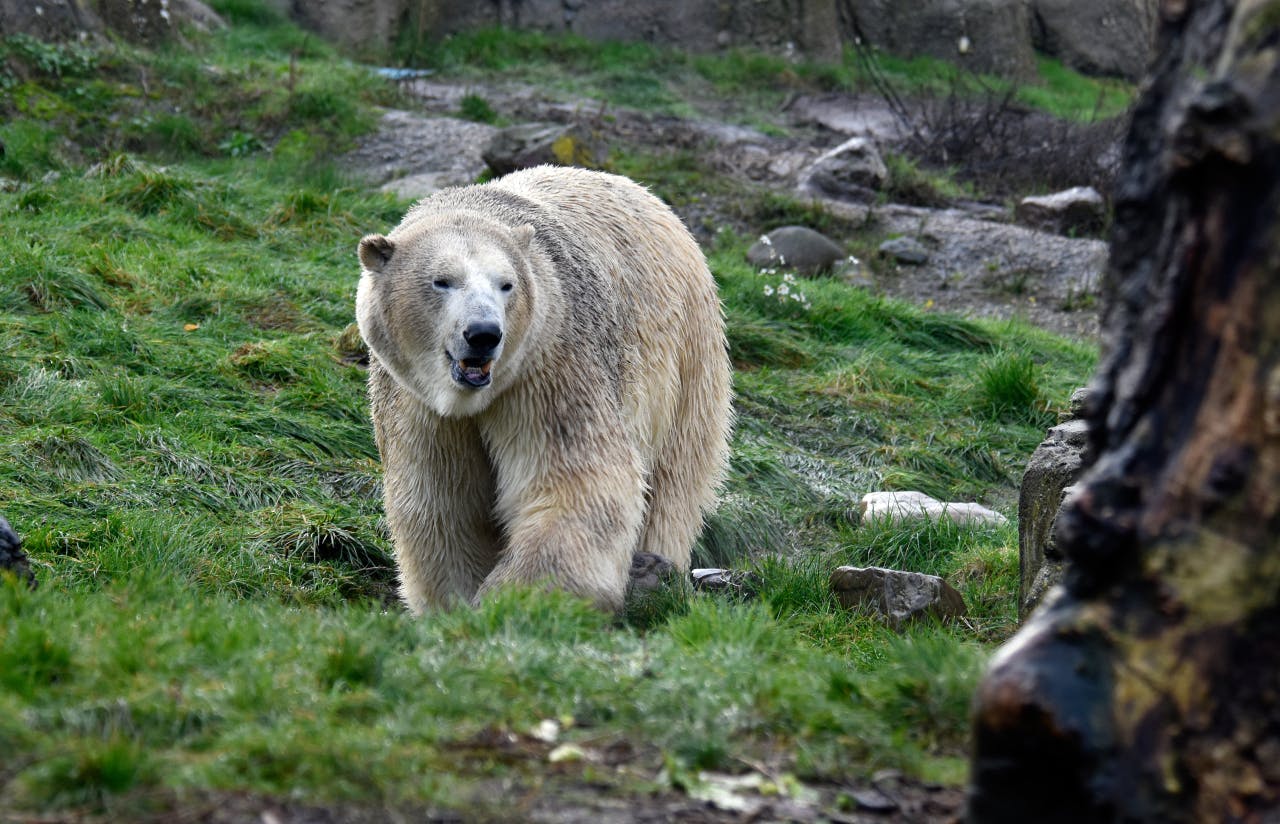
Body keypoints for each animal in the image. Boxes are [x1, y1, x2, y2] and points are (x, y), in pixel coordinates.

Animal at [355, 163, 732, 611]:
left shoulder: (550, 367)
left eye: (507, 284)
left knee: (675, 477)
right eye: (441, 281)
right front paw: (455, 602)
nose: (484, 334)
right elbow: (443, 501)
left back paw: (653, 569)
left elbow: (574, 482)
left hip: (688, 354)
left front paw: (514, 596)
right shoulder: (416, 402)